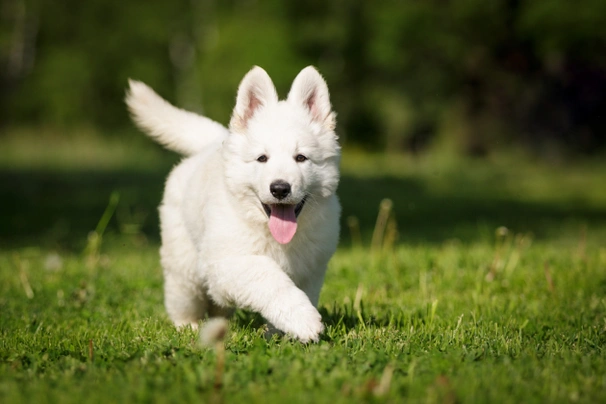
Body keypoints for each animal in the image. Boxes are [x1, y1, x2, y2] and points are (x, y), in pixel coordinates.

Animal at [126, 65, 342, 340]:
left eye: (301, 158)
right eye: (262, 158)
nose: (280, 188)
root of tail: (211, 144)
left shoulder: (311, 269)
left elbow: (299, 292)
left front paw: (281, 333)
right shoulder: (226, 262)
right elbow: (268, 277)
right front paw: (304, 320)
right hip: (185, 266)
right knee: (182, 298)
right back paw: (188, 327)